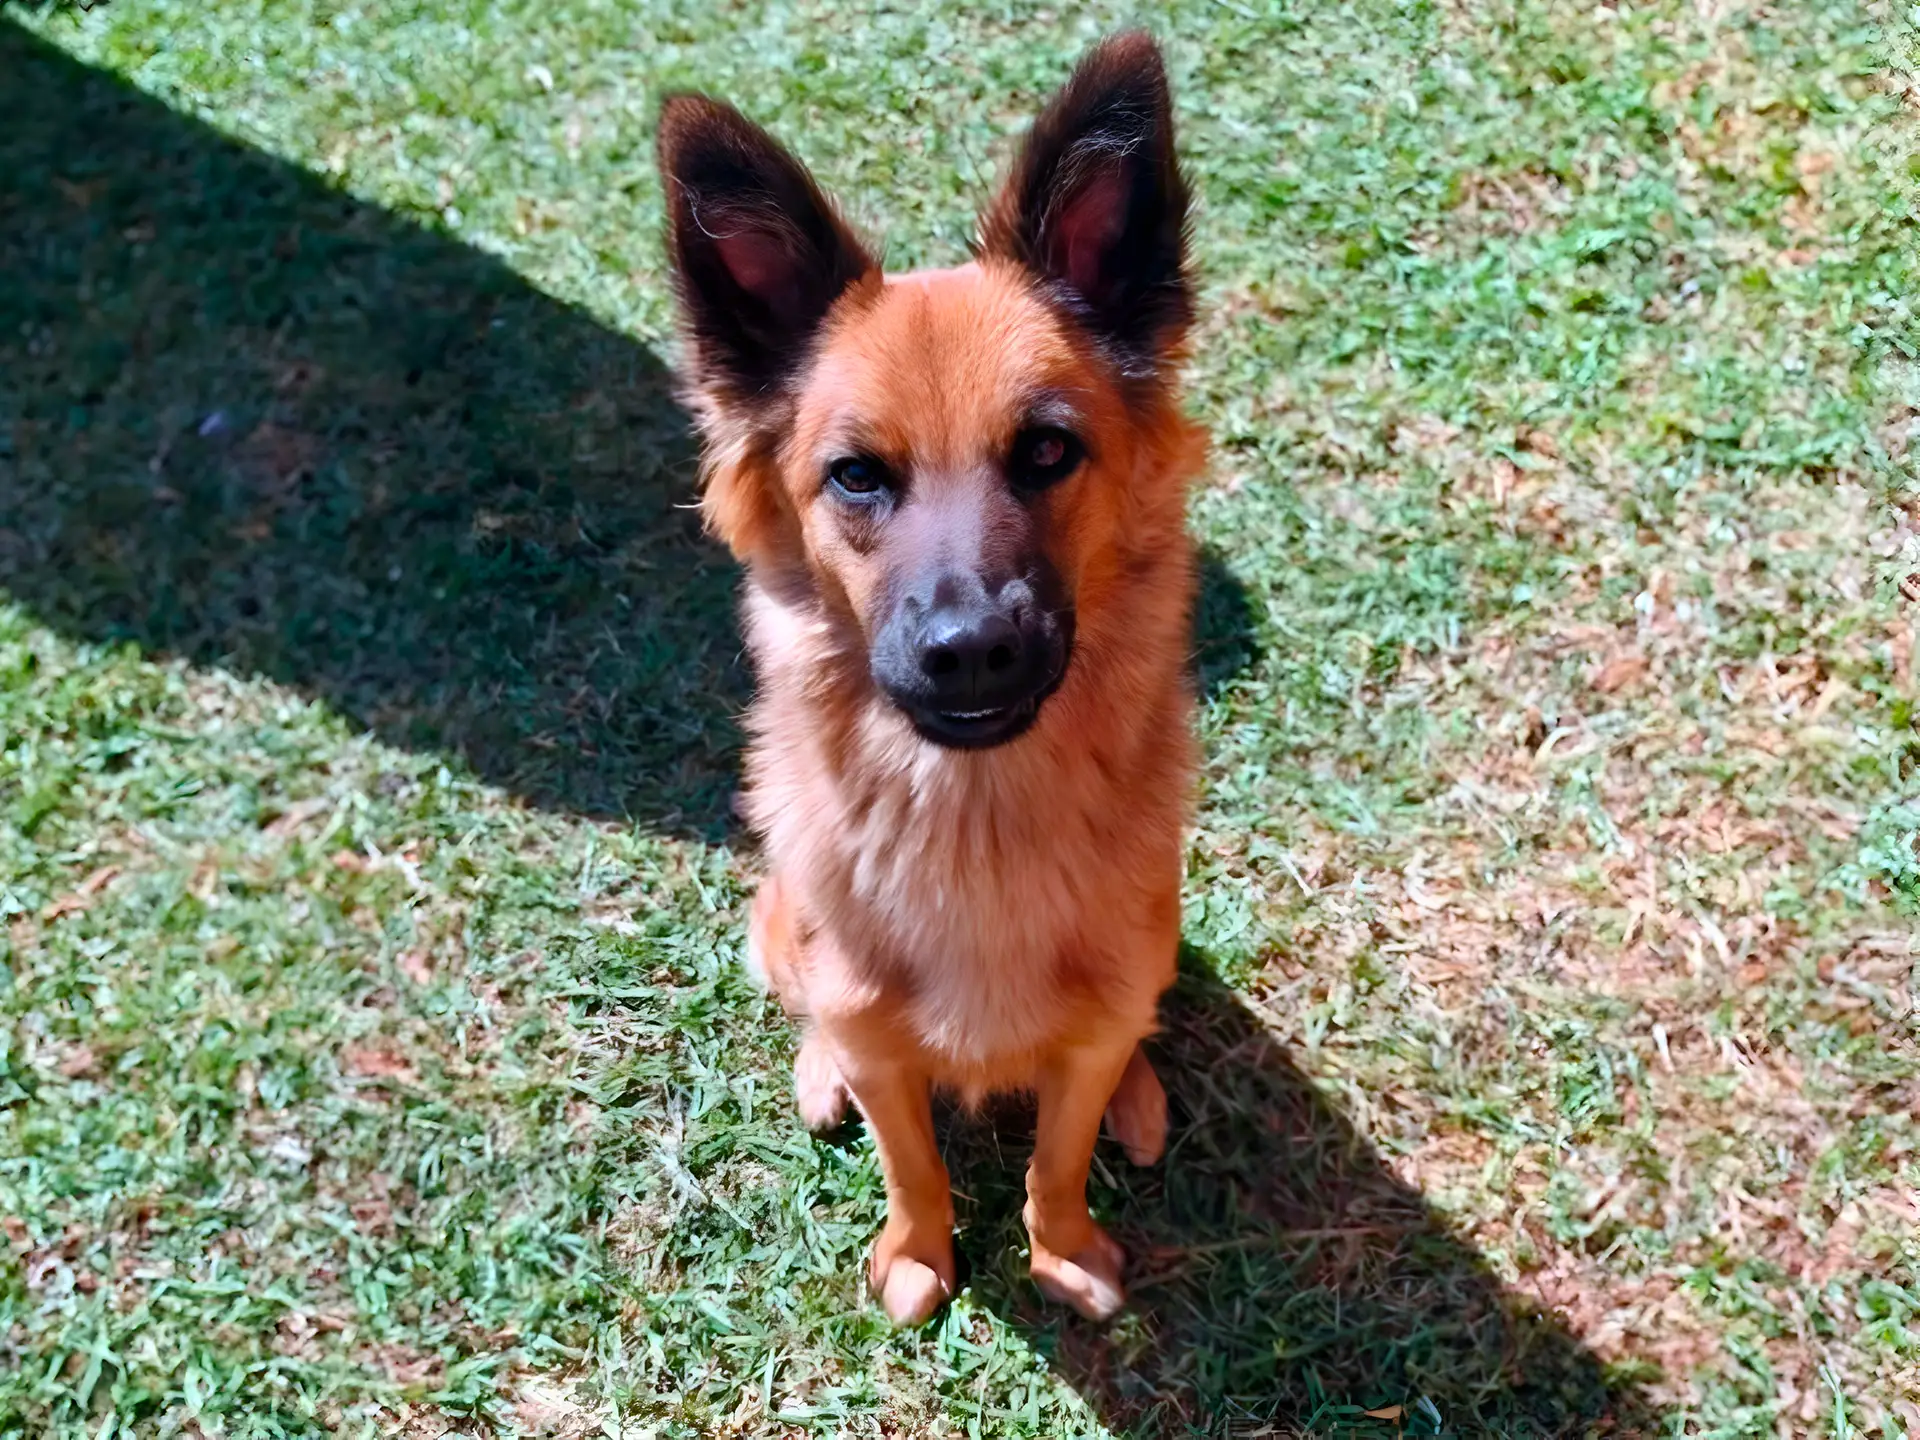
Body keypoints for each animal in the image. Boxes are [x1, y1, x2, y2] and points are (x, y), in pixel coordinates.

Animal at [652, 28, 1205, 1328]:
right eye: (857, 476)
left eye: (1047, 449)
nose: (971, 649)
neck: (977, 824)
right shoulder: (878, 1038)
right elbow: (914, 1163)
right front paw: (918, 1256)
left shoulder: (1089, 1032)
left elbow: (1058, 1157)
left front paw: (1063, 1249)